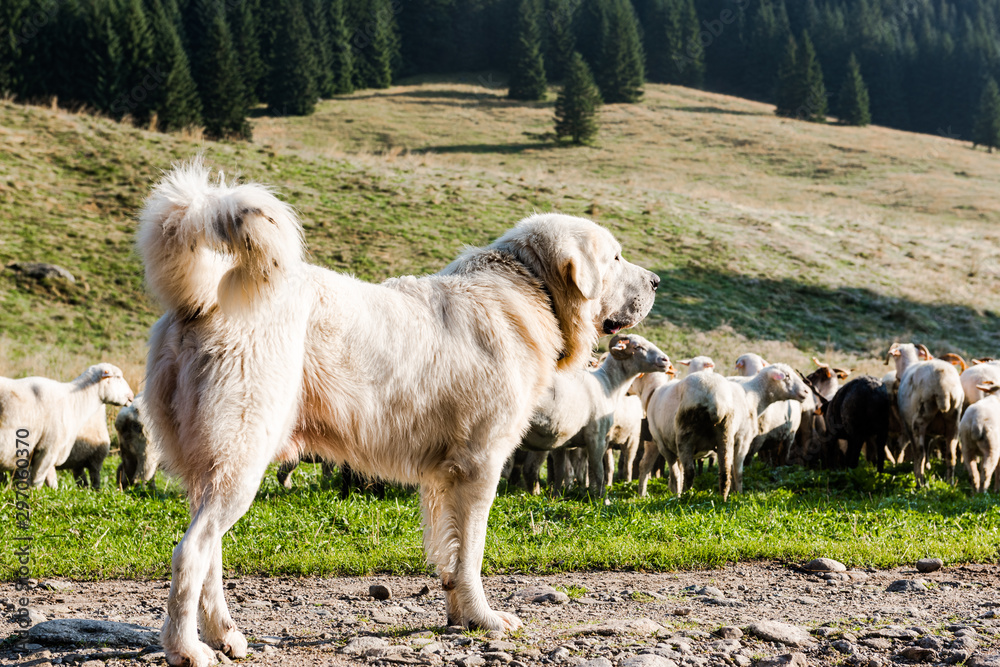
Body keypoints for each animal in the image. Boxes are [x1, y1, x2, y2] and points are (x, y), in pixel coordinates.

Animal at [0, 364, 133, 487]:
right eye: (118, 377)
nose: (132, 396)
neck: (75, 400)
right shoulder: (48, 448)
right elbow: (37, 480)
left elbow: (50, 481)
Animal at [520, 333, 671, 499]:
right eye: (637, 347)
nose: (666, 360)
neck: (608, 384)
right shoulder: (597, 437)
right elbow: (599, 472)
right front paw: (602, 499)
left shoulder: (559, 440)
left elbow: (560, 472)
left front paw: (556, 497)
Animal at [888, 342, 964, 486]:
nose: (896, 377)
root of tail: (943, 387)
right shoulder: (930, 433)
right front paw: (929, 468)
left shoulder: (908, 426)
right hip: (954, 421)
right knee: (951, 455)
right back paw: (950, 483)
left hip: (920, 419)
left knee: (920, 454)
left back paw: (920, 483)